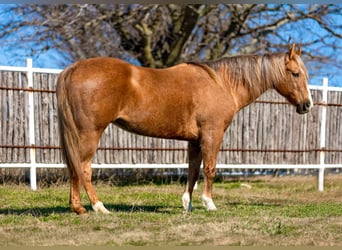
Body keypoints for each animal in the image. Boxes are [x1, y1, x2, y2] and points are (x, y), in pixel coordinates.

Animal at [56, 44, 312, 214]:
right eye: (295, 73)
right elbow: (209, 169)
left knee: (73, 169)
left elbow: (193, 171)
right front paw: (209, 203)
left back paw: (78, 208)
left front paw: (187, 205)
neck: (222, 84)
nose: (307, 105)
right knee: (83, 169)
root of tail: (73, 68)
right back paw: (99, 207)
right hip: (90, 133)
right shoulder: (212, 134)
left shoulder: (194, 141)